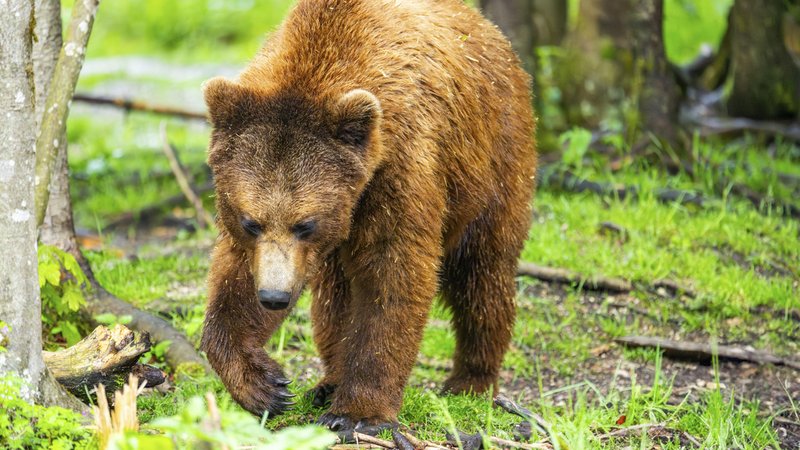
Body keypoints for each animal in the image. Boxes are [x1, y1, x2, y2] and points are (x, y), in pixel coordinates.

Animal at [200, 0, 537, 431]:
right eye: (251, 222)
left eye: (305, 224)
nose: (274, 297)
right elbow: (236, 280)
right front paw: (264, 385)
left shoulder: (399, 166)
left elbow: (392, 273)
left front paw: (359, 413)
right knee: (334, 297)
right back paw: (329, 381)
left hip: (494, 163)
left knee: (482, 276)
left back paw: (471, 381)